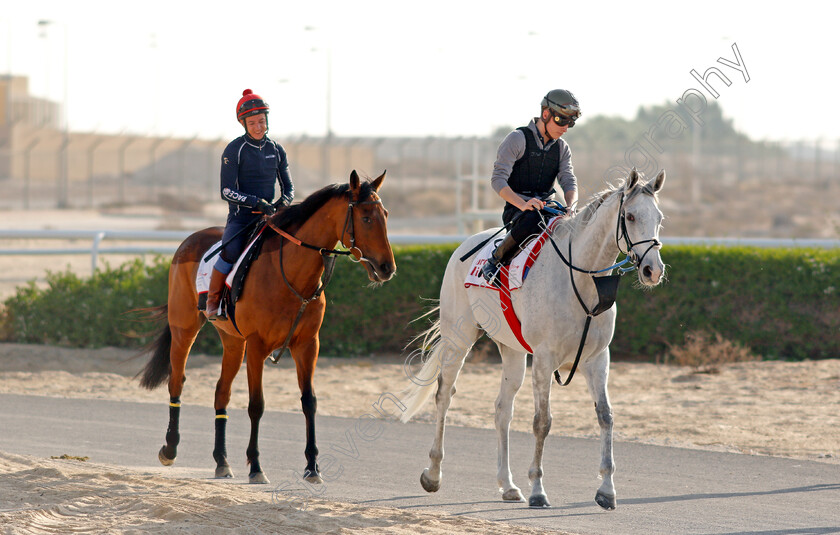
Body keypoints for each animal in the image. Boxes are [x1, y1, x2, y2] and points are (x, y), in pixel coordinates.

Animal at [139, 171, 398, 486]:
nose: (387, 268)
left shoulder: (307, 345)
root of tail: (189, 240)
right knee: (177, 381)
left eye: (385, 215)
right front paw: (256, 466)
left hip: (233, 342)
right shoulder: (257, 346)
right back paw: (170, 449)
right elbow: (256, 405)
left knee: (221, 392)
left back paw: (222, 461)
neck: (291, 275)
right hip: (185, 329)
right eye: (367, 218)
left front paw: (312, 466)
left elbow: (309, 401)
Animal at [398, 170, 668, 508]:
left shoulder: (597, 358)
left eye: (659, 218)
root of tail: (465, 245)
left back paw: (508, 484)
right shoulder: (543, 358)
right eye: (630, 216)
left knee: (503, 409)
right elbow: (542, 422)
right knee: (444, 396)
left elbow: (605, 416)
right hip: (458, 340)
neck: (579, 280)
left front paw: (607, 490)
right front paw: (538, 489)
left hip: (512, 351)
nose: (653, 270)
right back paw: (433, 474)